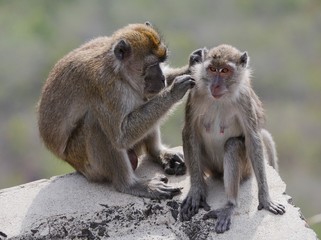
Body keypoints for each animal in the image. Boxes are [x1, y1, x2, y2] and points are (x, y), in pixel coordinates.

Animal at [36, 22, 195, 199]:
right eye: (152, 65)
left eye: (161, 62)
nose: (161, 79)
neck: (118, 72)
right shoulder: (106, 88)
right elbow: (121, 136)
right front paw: (174, 91)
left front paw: (192, 66)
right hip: (88, 164)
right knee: (97, 124)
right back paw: (130, 184)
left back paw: (157, 153)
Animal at [180, 44, 284, 232]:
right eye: (212, 69)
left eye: (225, 71)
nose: (215, 85)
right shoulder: (195, 92)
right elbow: (189, 132)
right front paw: (196, 192)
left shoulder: (244, 99)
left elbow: (252, 138)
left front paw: (265, 199)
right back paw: (202, 189)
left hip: (246, 169)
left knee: (233, 145)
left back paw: (230, 205)